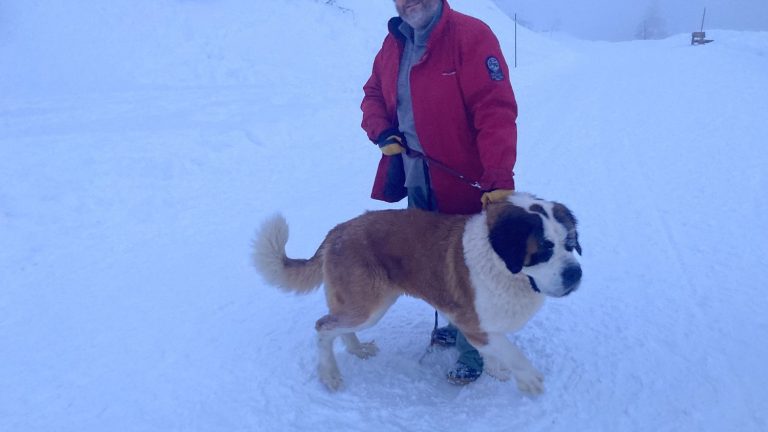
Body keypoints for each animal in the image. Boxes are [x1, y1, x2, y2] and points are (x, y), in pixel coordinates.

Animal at [252, 192, 584, 394]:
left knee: (337, 326)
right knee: (323, 326)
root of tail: (337, 231)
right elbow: (510, 350)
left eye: (570, 243)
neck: (503, 264)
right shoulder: (472, 323)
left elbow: (498, 349)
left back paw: (357, 350)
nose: (575, 274)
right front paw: (528, 379)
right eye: (543, 250)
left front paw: (497, 369)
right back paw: (330, 375)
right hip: (369, 306)